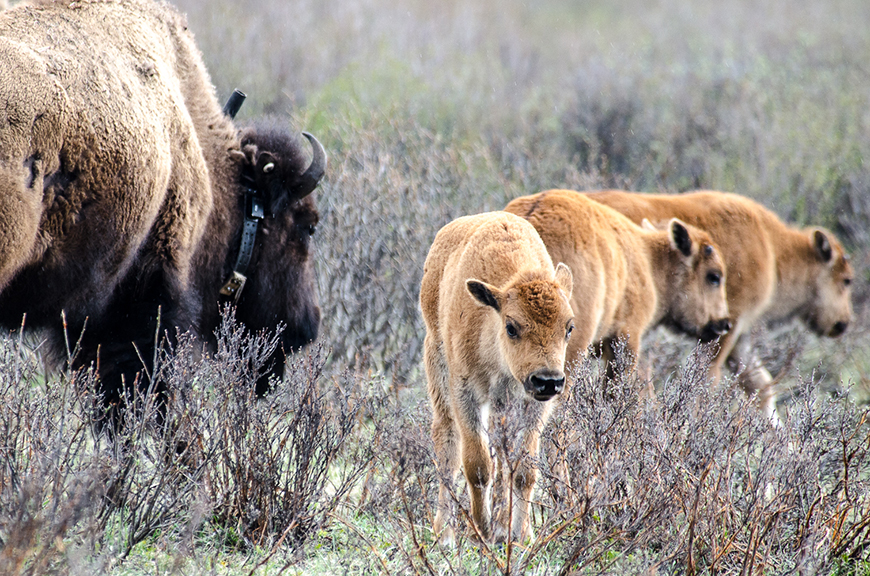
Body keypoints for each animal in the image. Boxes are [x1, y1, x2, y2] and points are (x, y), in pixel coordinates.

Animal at [420, 211, 575, 545]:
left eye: (569, 327)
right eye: (511, 327)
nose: (548, 380)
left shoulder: (534, 404)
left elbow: (524, 468)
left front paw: (518, 534)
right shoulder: (465, 392)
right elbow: (477, 464)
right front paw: (482, 530)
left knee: (503, 457)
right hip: (437, 364)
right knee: (447, 441)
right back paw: (445, 532)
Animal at [583, 190, 854, 422]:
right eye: (846, 280)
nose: (843, 323)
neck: (772, 249)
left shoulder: (740, 337)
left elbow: (760, 386)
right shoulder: (725, 330)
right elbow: (708, 382)